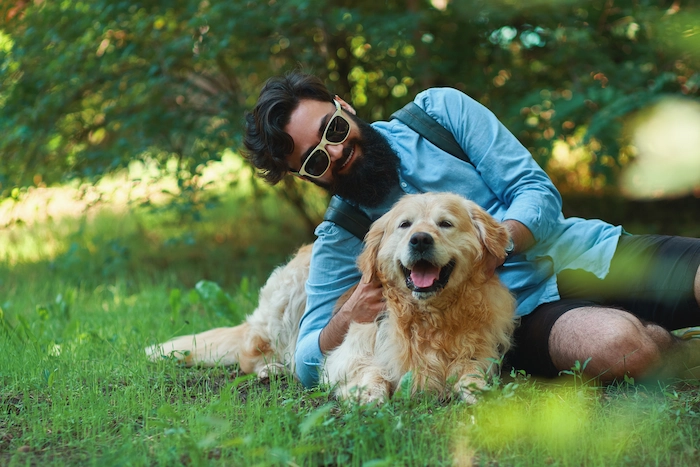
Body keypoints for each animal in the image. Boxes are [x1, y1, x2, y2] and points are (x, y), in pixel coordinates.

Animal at [146, 192, 516, 404]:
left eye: (446, 223)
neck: (428, 318)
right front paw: (369, 394)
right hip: (290, 296)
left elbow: (473, 372)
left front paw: (476, 390)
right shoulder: (348, 352)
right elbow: (369, 371)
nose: (420, 240)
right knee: (253, 353)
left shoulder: (478, 352)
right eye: (405, 224)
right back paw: (272, 368)